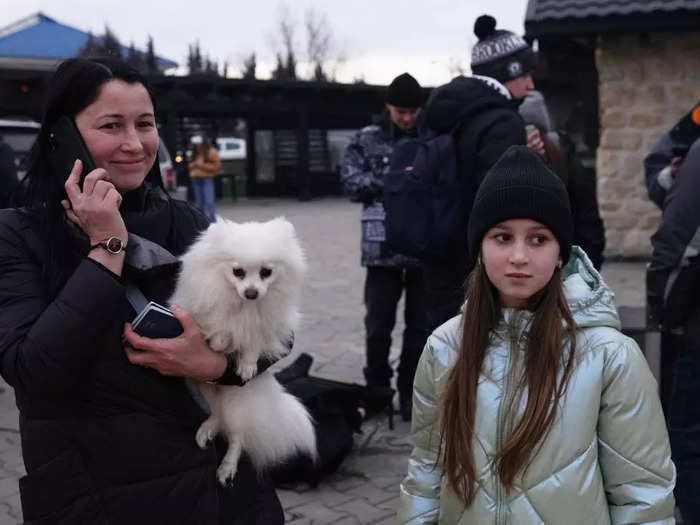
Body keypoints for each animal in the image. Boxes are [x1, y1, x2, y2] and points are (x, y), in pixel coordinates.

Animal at [172, 216, 318, 484]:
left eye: (266, 272)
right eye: (237, 272)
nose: (251, 292)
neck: (244, 307)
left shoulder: (265, 327)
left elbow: (252, 343)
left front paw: (248, 366)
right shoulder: (207, 312)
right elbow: (220, 326)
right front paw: (220, 342)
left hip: (237, 402)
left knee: (237, 436)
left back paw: (227, 467)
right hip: (204, 387)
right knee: (217, 414)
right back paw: (208, 428)